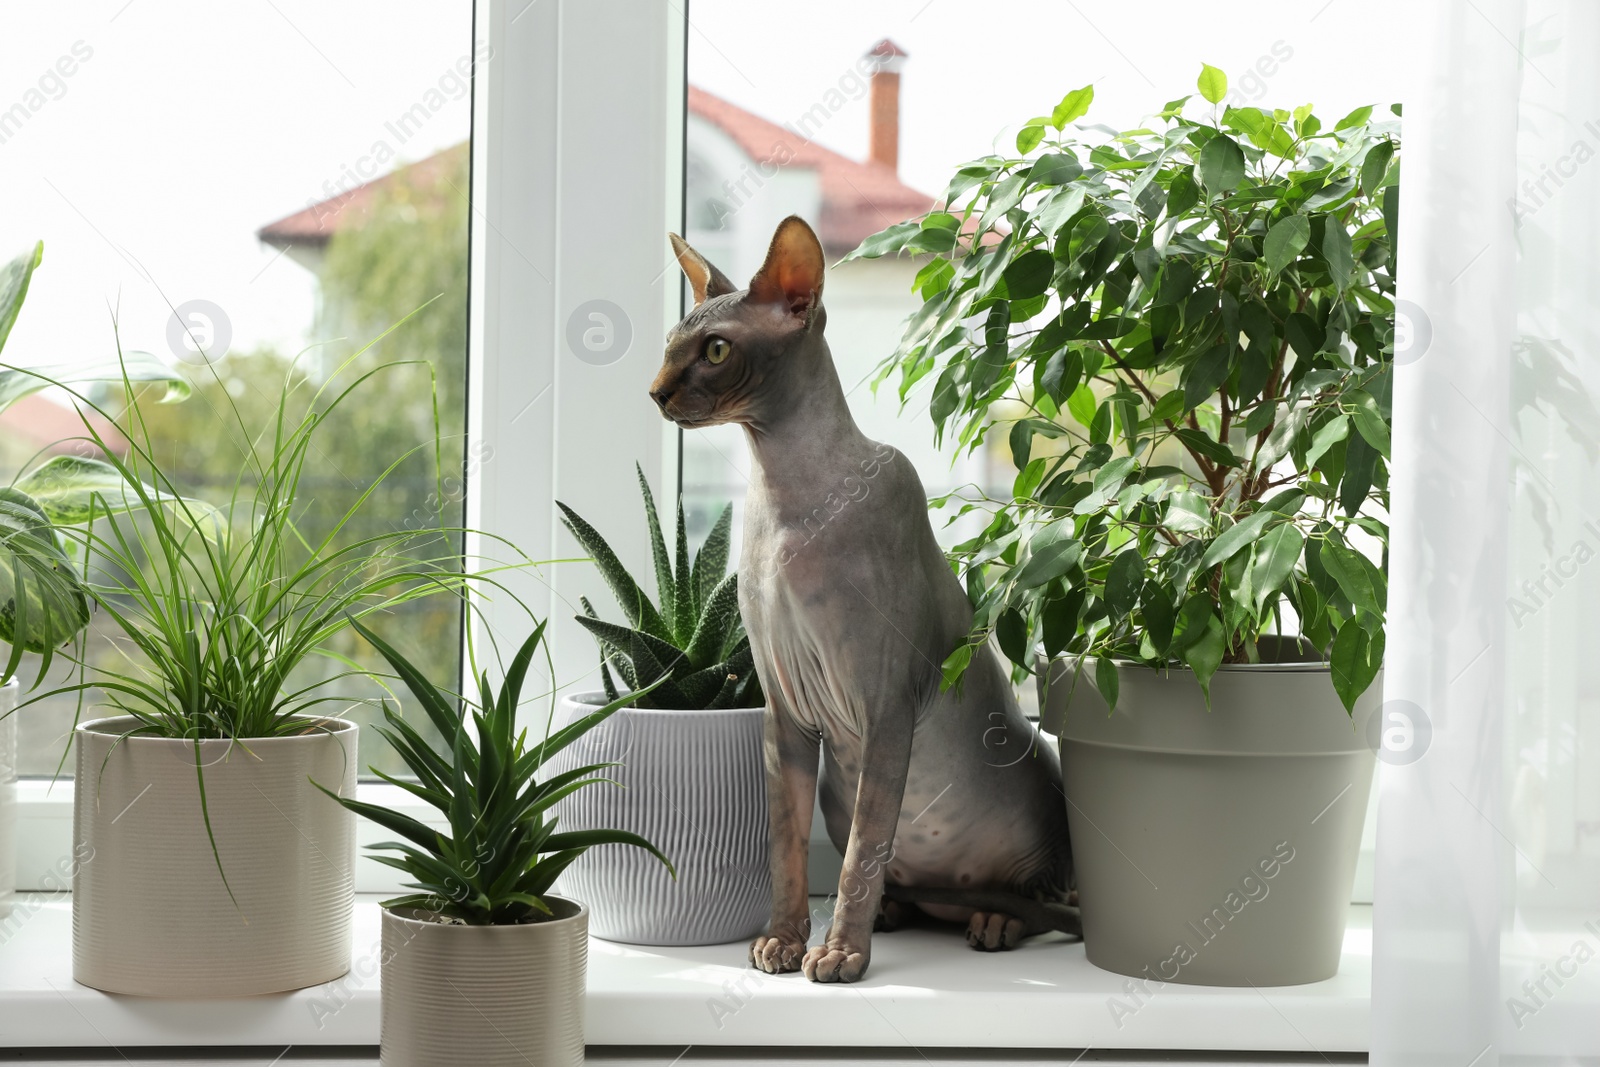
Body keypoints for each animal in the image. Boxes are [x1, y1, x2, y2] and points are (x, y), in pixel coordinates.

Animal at [649, 214, 1075, 985]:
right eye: (671, 345)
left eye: (716, 350)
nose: (656, 392)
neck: (789, 499)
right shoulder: (784, 710)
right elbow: (788, 851)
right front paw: (782, 942)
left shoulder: (884, 708)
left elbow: (856, 860)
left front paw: (839, 952)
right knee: (905, 883)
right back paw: (900, 910)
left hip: (1032, 768)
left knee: (1037, 893)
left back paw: (993, 919)